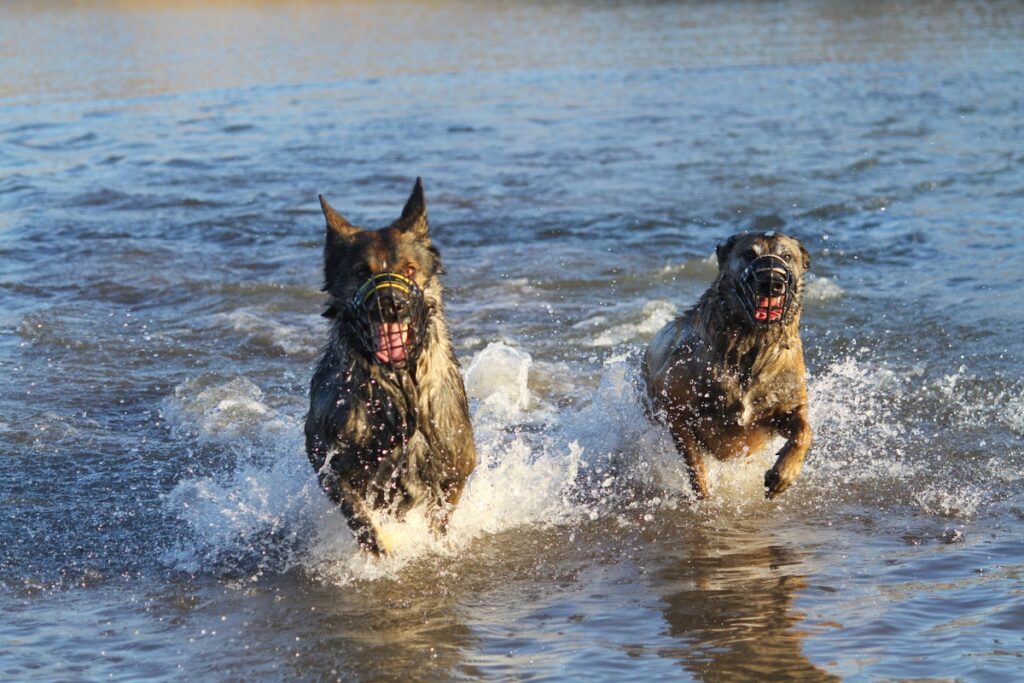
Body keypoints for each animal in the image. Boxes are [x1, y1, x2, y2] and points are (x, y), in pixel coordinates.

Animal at [305, 178, 477, 557]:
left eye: (409, 269)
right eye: (361, 272)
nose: (390, 304)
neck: (400, 390)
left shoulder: (457, 467)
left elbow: (441, 516)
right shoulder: (327, 461)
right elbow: (358, 515)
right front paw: (381, 546)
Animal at [643, 232, 811, 499]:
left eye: (787, 256)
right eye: (749, 254)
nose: (772, 281)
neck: (752, 344)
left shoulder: (787, 405)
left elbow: (804, 431)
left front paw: (783, 473)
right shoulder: (678, 413)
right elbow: (695, 464)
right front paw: (704, 496)